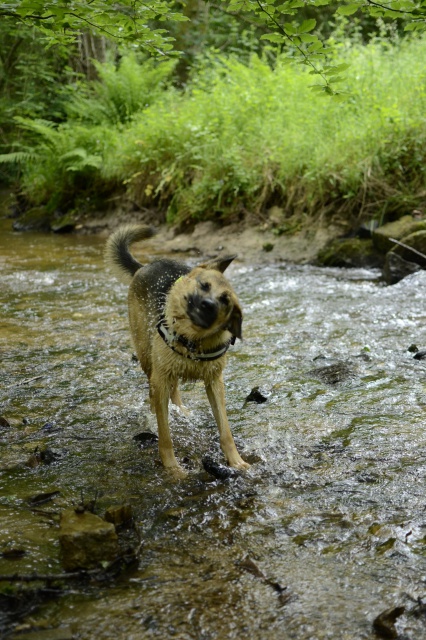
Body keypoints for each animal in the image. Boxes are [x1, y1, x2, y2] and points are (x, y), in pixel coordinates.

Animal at [104, 228, 248, 472]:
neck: (192, 342)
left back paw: (180, 409)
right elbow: (165, 435)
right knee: (153, 390)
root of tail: (144, 266)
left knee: (175, 389)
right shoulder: (161, 378)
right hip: (147, 359)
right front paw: (172, 469)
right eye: (204, 285)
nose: (207, 304)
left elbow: (225, 430)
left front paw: (236, 461)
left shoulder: (214, 383)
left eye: (224, 300)